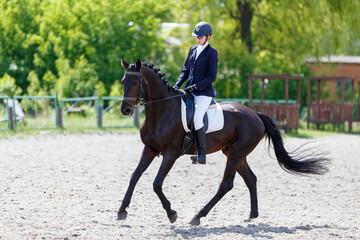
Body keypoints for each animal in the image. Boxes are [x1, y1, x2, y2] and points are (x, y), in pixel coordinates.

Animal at [116, 58, 330, 225]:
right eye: (124, 81)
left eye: (135, 82)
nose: (125, 110)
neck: (161, 111)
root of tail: (256, 115)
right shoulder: (149, 149)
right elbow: (134, 176)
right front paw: (122, 211)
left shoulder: (171, 154)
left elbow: (156, 184)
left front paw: (172, 214)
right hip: (234, 153)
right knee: (251, 179)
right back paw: (252, 215)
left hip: (236, 153)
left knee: (226, 185)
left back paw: (197, 216)